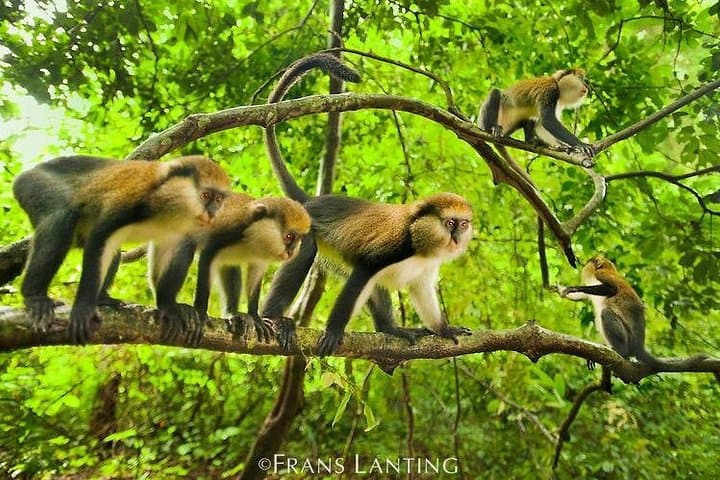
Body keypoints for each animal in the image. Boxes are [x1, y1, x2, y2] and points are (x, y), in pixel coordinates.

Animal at [13, 154, 230, 344]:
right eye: (205, 196)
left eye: (219, 200)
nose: (212, 213)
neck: (169, 204)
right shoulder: (129, 201)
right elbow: (101, 238)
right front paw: (83, 307)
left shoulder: (180, 231)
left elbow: (177, 249)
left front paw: (168, 306)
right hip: (35, 184)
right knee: (59, 219)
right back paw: (35, 296)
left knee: (114, 253)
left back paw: (102, 299)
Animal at [148, 192, 311, 344]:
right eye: (289, 236)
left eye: (298, 239)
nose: (291, 252)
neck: (254, 235)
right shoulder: (230, 231)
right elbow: (207, 256)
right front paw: (201, 312)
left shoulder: (260, 258)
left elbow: (255, 276)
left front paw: (255, 316)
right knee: (186, 246)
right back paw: (167, 304)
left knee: (230, 265)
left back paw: (233, 313)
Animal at [261, 52, 474, 356]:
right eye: (450, 223)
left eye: (463, 224)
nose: (456, 237)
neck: (421, 243)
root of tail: (311, 201)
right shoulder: (394, 247)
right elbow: (363, 274)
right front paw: (333, 331)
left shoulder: (427, 268)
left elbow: (419, 290)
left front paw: (443, 329)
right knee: (307, 251)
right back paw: (273, 318)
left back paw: (390, 330)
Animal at [560, 255, 708, 370]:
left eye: (591, 260)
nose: (584, 262)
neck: (608, 268)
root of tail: (639, 346)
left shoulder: (602, 274)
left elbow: (611, 289)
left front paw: (573, 288)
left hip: (628, 338)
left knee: (606, 313)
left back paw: (620, 351)